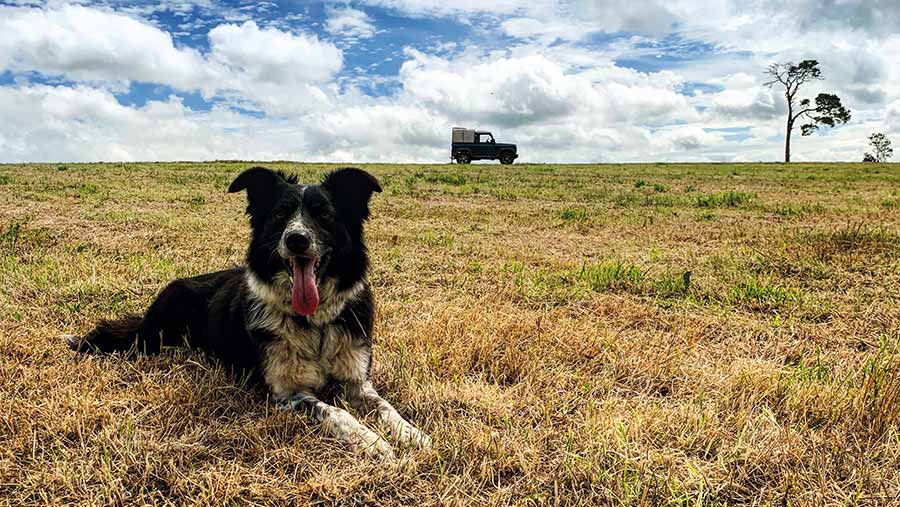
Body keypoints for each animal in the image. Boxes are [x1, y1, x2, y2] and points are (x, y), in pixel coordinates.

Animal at [63, 168, 428, 460]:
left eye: (324, 215)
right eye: (280, 215)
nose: (296, 240)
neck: (313, 324)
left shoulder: (357, 382)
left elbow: (387, 408)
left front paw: (413, 436)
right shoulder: (286, 393)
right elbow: (333, 412)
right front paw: (371, 441)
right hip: (159, 331)